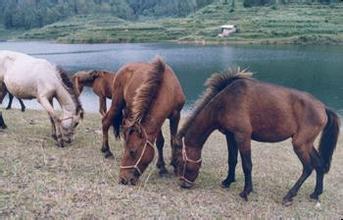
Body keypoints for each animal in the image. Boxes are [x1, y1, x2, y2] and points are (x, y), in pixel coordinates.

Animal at [102, 57, 187, 185]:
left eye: (132, 151)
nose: (123, 179)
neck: (168, 88)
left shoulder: (175, 115)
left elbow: (172, 141)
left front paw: (174, 166)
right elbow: (160, 142)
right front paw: (162, 167)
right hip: (117, 103)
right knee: (105, 122)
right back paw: (106, 151)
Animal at [175, 67, 342, 206]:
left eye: (181, 162)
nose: (184, 184)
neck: (226, 102)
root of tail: (323, 107)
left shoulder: (243, 136)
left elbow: (247, 165)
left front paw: (246, 191)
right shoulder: (230, 136)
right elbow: (232, 160)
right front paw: (228, 181)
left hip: (299, 144)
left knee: (308, 168)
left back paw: (289, 196)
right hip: (307, 144)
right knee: (319, 164)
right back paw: (316, 193)